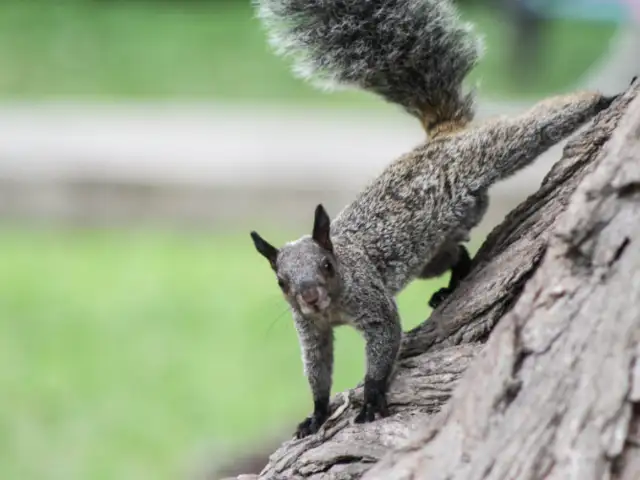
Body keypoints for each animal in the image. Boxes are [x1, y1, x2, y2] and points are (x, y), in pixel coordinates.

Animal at [249, 0, 620, 438]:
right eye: (281, 281)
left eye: (326, 265)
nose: (309, 296)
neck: (333, 306)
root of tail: (441, 136)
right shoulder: (310, 330)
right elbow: (317, 371)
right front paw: (317, 413)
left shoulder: (373, 303)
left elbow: (384, 343)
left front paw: (371, 398)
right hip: (430, 255)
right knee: (457, 253)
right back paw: (451, 284)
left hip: (490, 153)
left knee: (535, 126)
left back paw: (602, 99)